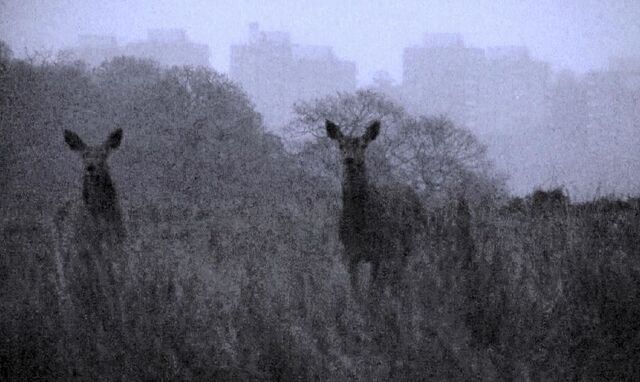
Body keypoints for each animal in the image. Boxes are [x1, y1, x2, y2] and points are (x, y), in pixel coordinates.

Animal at [324, 119, 424, 298]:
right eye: (341, 145)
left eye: (364, 145)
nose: (349, 159)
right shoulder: (349, 253)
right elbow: (356, 292)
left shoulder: (379, 251)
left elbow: (373, 292)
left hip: (408, 243)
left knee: (399, 276)